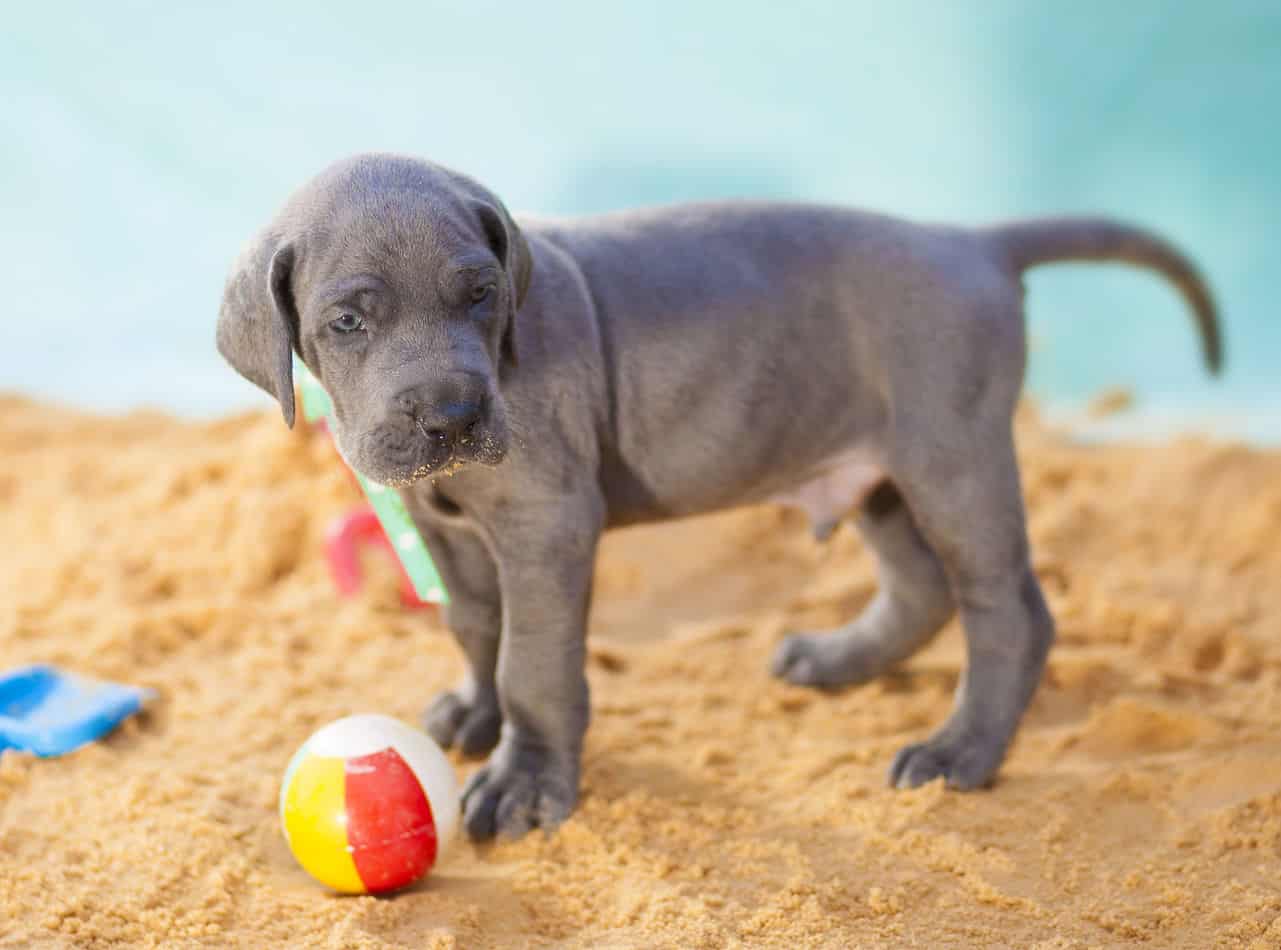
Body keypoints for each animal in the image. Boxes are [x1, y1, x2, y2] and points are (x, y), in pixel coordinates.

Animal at [217, 154, 1219, 839]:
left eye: (482, 294)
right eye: (348, 322)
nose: (452, 416)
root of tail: (970, 242)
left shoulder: (546, 524)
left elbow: (533, 661)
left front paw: (525, 778)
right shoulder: (448, 528)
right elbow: (476, 627)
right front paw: (476, 714)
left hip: (952, 458)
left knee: (1007, 610)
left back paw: (959, 751)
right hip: (879, 474)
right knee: (921, 587)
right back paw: (839, 660)